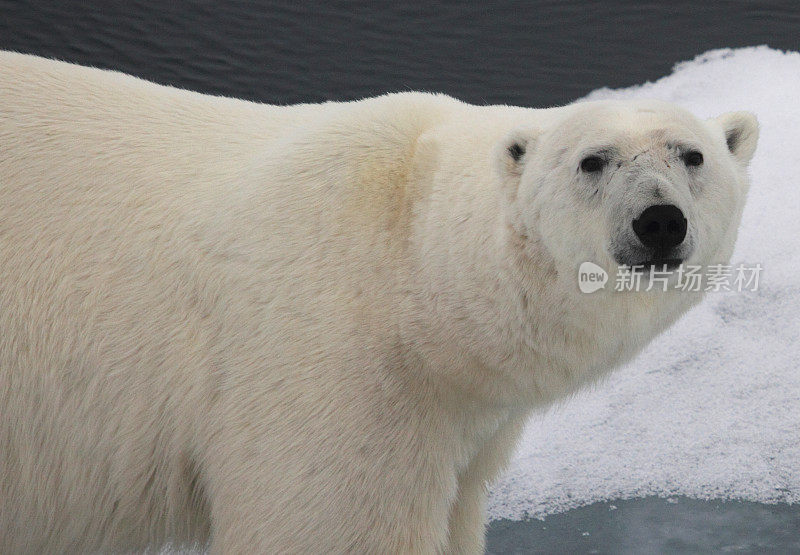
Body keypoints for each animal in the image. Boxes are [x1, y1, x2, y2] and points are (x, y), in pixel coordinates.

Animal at [0, 51, 756, 552]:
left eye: (692, 155)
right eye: (592, 160)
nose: (659, 222)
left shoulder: (466, 421)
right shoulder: (324, 366)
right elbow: (328, 526)